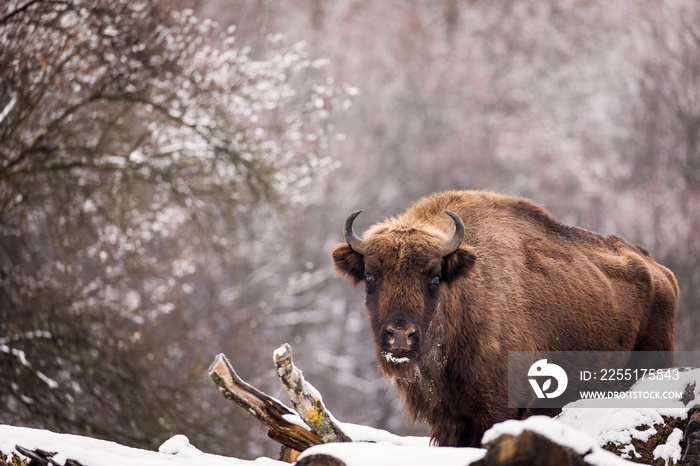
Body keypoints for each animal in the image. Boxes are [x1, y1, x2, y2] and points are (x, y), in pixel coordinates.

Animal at [330, 189, 680, 448]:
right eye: (370, 276)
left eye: (434, 276)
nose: (401, 335)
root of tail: (662, 273)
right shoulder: (448, 418)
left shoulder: (498, 409)